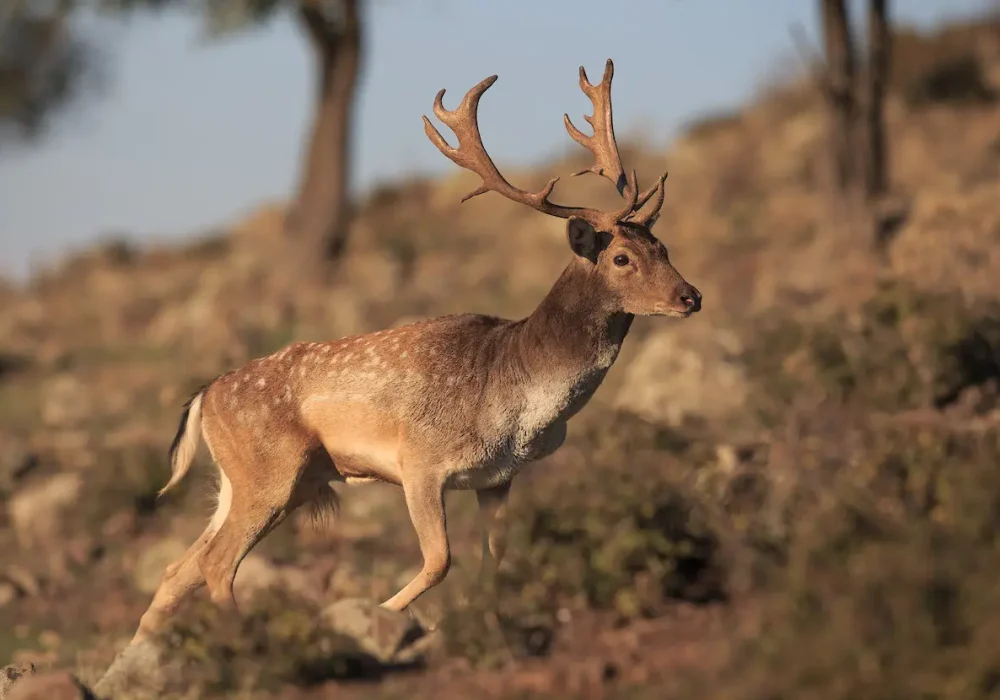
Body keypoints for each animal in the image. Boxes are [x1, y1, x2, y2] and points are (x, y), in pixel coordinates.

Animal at [126, 58, 701, 646]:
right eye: (622, 258)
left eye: (664, 247)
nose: (691, 296)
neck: (519, 401)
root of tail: (203, 396)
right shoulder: (420, 460)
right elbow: (439, 560)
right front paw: (388, 615)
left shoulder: (499, 477)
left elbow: (495, 558)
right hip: (270, 472)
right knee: (215, 564)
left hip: (260, 484)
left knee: (177, 569)